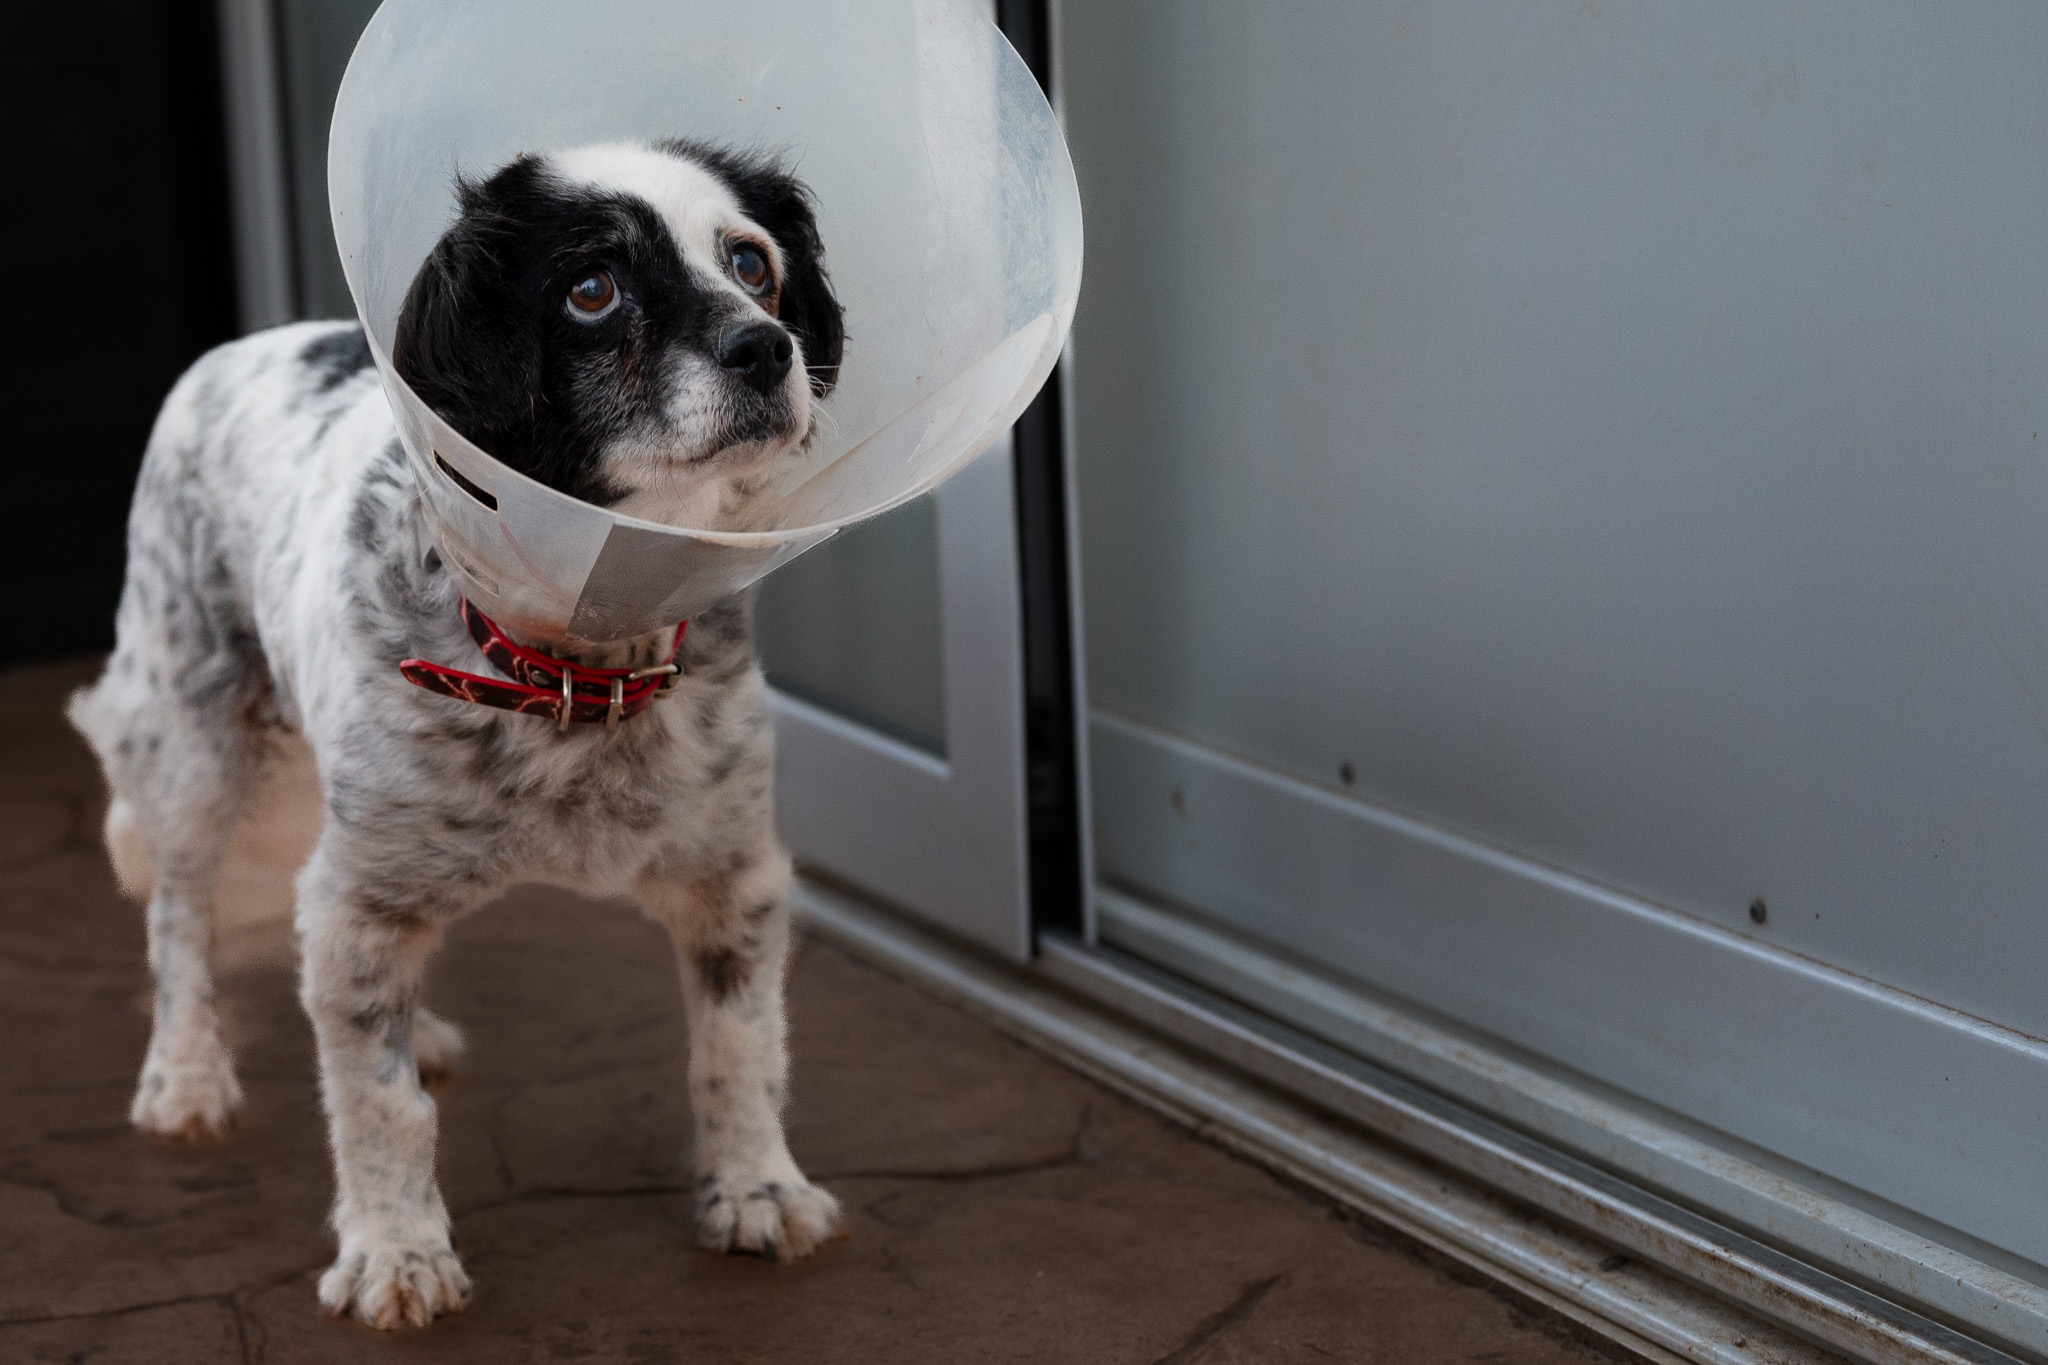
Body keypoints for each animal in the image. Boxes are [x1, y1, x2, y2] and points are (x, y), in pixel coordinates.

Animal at [66, 139, 848, 1330]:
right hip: (192, 743)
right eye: (591, 289)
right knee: (179, 922)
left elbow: (740, 1047)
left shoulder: (735, 877)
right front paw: (396, 1252)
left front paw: (757, 1187)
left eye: (750, 263)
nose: (769, 348)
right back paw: (187, 1075)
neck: (571, 670)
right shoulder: (354, 894)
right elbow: (378, 1106)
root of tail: (247, 343)